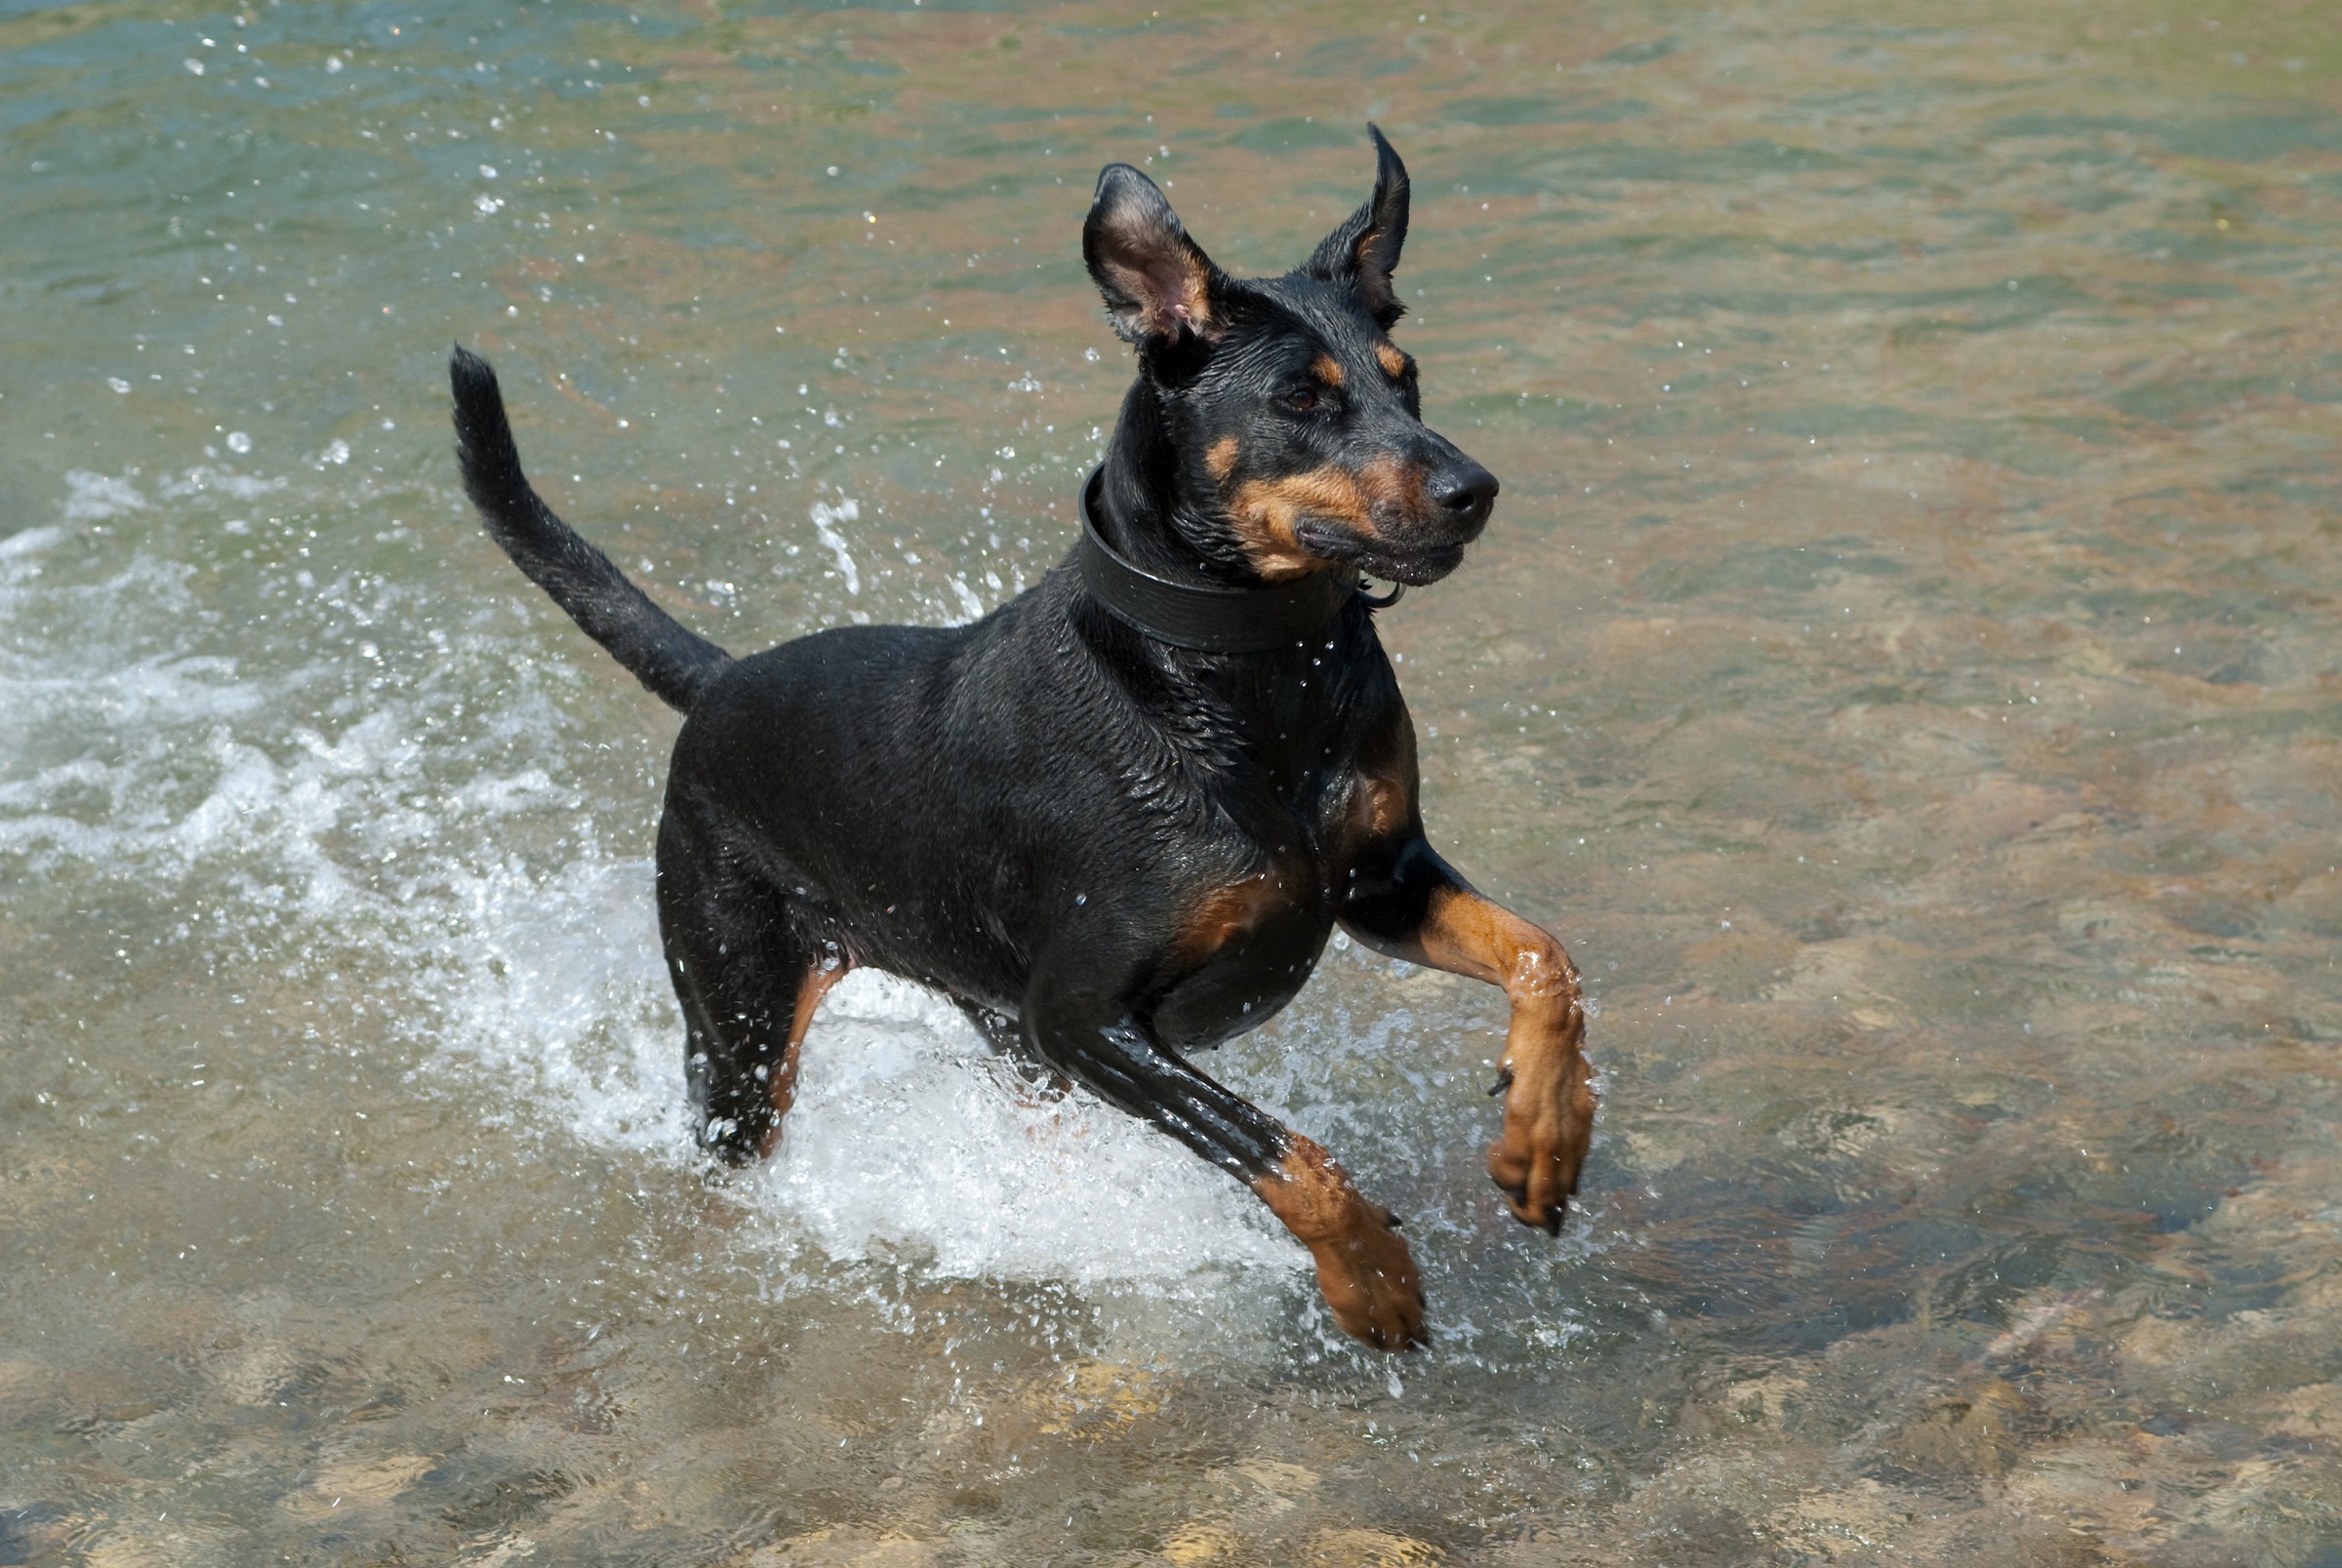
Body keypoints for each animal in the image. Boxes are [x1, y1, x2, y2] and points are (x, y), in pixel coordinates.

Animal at [447, 125, 1601, 1347]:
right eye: (1301, 396)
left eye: (1405, 376)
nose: (1475, 486)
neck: (1248, 671)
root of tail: (723, 680)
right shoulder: (1081, 1014)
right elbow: (1280, 1148)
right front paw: (1374, 1279)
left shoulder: (1375, 879)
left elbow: (1545, 957)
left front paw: (1543, 1142)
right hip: (744, 1021)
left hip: (996, 1035)